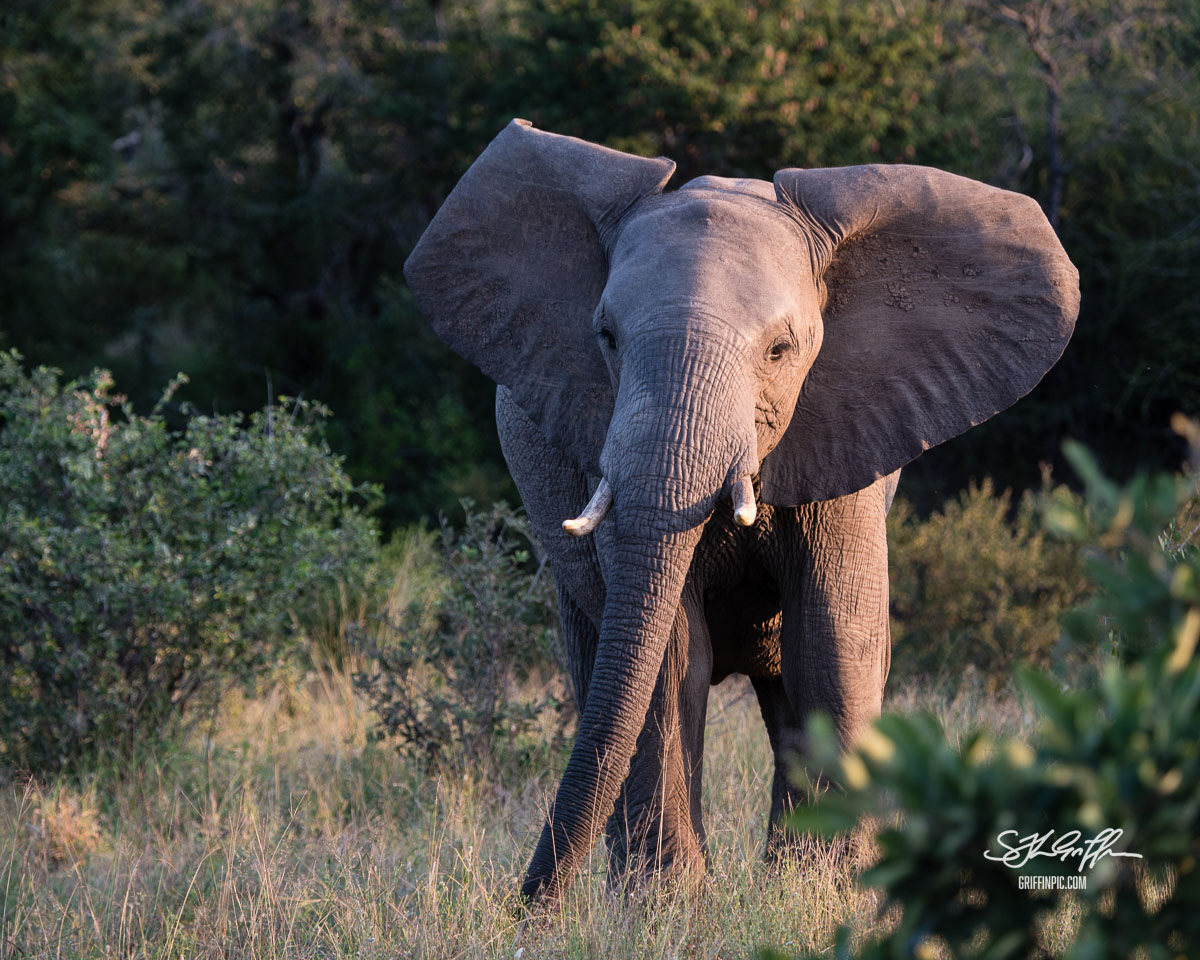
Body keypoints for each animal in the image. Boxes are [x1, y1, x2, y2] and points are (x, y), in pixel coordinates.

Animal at [403, 119, 1079, 904]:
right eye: (606, 338)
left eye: (782, 349)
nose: (528, 908)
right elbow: (669, 654)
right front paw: (667, 909)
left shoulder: (847, 428)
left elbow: (833, 639)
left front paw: (831, 896)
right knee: (599, 657)